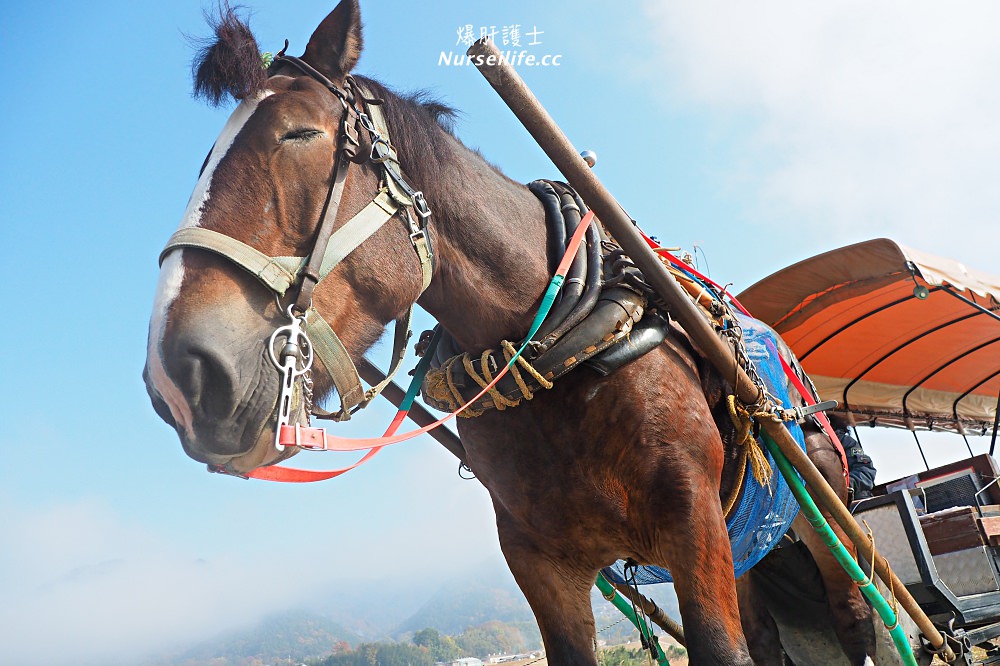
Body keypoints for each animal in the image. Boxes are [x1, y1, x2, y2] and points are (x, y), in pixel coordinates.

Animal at [143, 2, 876, 660]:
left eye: (298, 135)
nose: (178, 377)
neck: (560, 350)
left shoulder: (692, 518)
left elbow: (723, 648)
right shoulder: (538, 557)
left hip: (819, 505)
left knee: (854, 613)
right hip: (748, 536)